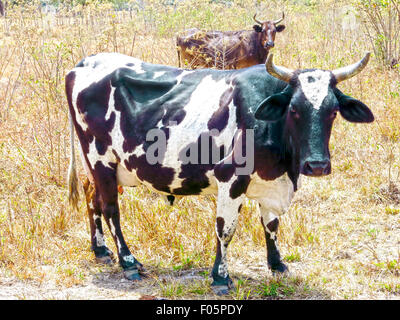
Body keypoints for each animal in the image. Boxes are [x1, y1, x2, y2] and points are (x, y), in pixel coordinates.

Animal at [66, 51, 376, 294]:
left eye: (333, 111)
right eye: (295, 110)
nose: (317, 165)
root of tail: (85, 63)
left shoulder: (269, 182)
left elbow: (271, 225)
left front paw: (277, 264)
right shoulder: (231, 179)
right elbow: (225, 230)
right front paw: (220, 277)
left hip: (101, 166)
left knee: (92, 196)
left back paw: (100, 250)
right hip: (100, 159)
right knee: (110, 208)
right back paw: (128, 261)